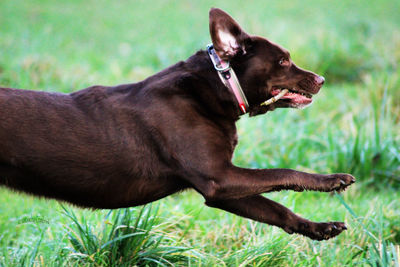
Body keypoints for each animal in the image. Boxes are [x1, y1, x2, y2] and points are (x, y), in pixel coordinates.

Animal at [0, 9, 354, 242]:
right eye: (283, 61)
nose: (321, 79)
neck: (217, 85)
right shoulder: (219, 178)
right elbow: (282, 173)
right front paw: (331, 180)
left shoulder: (222, 190)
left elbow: (277, 208)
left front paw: (321, 228)